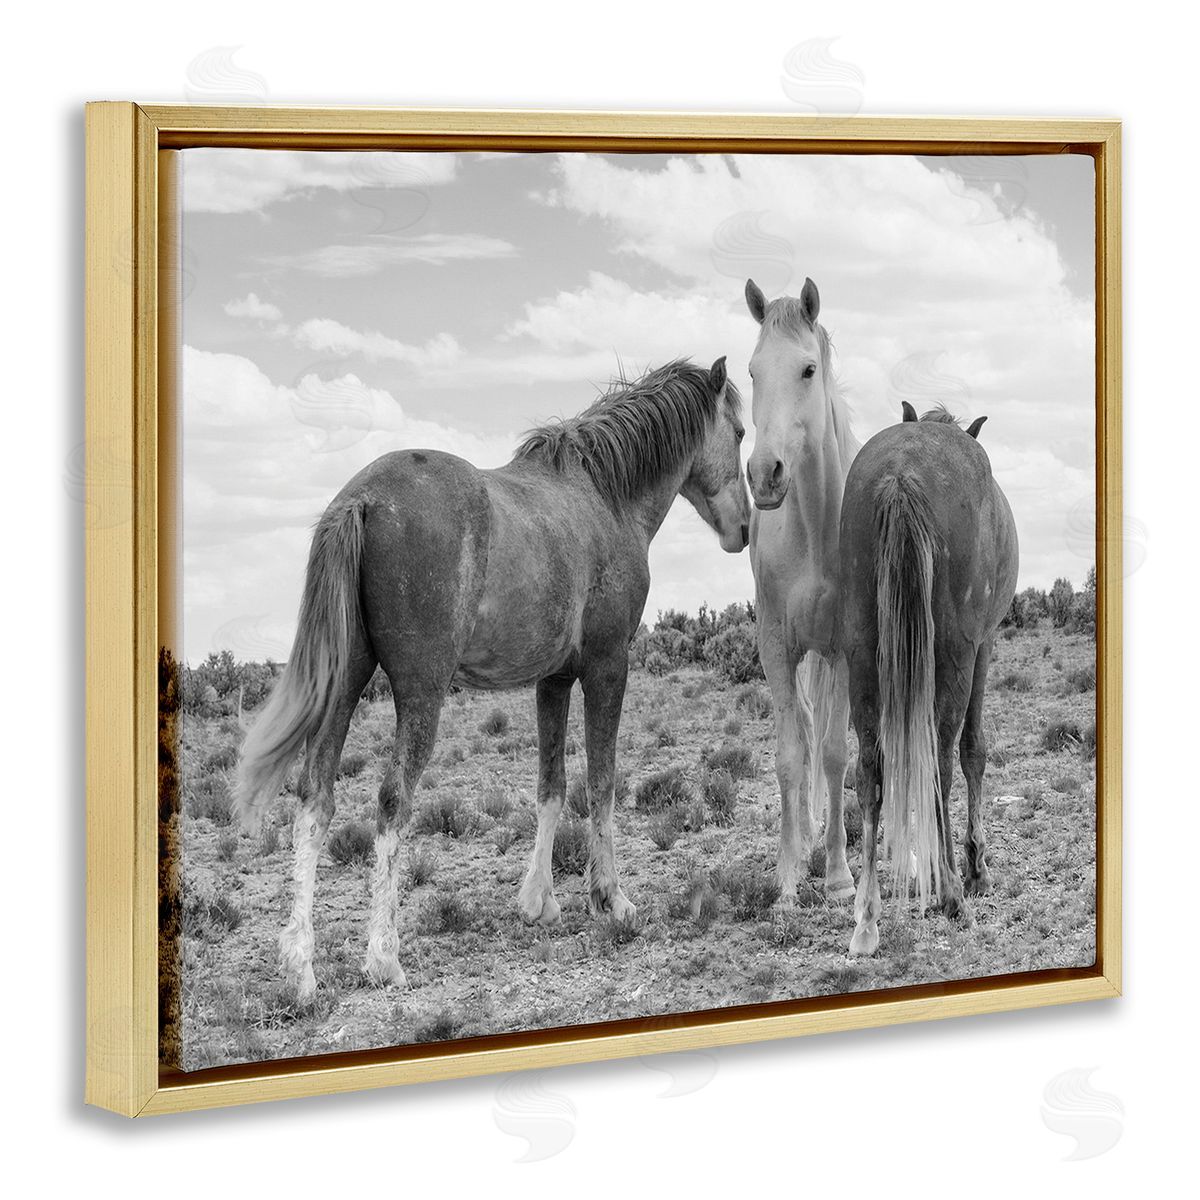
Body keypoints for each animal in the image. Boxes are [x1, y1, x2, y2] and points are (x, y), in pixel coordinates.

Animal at [236, 357, 751, 1000]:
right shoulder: (608, 667)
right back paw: (383, 957)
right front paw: (611, 898)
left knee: (315, 798)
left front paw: (538, 901)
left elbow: (552, 786)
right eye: (740, 432)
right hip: (421, 695)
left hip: (346, 684)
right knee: (392, 800)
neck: (606, 497)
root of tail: (360, 500)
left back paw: (301, 967)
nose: (744, 528)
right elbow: (602, 783)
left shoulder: (553, 680)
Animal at [838, 404, 1018, 955]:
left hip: (861, 651)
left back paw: (866, 919)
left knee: (870, 770)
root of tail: (901, 475)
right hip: (956, 653)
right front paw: (977, 868)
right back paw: (953, 894)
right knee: (940, 759)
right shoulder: (983, 646)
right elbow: (974, 751)